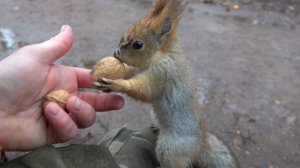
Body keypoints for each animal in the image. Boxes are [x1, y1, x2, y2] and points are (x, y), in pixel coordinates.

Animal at [94, 0, 237, 168]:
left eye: (138, 44)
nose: (115, 53)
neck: (161, 54)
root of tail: (202, 146)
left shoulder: (163, 73)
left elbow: (145, 90)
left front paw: (118, 84)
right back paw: (157, 127)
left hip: (171, 148)